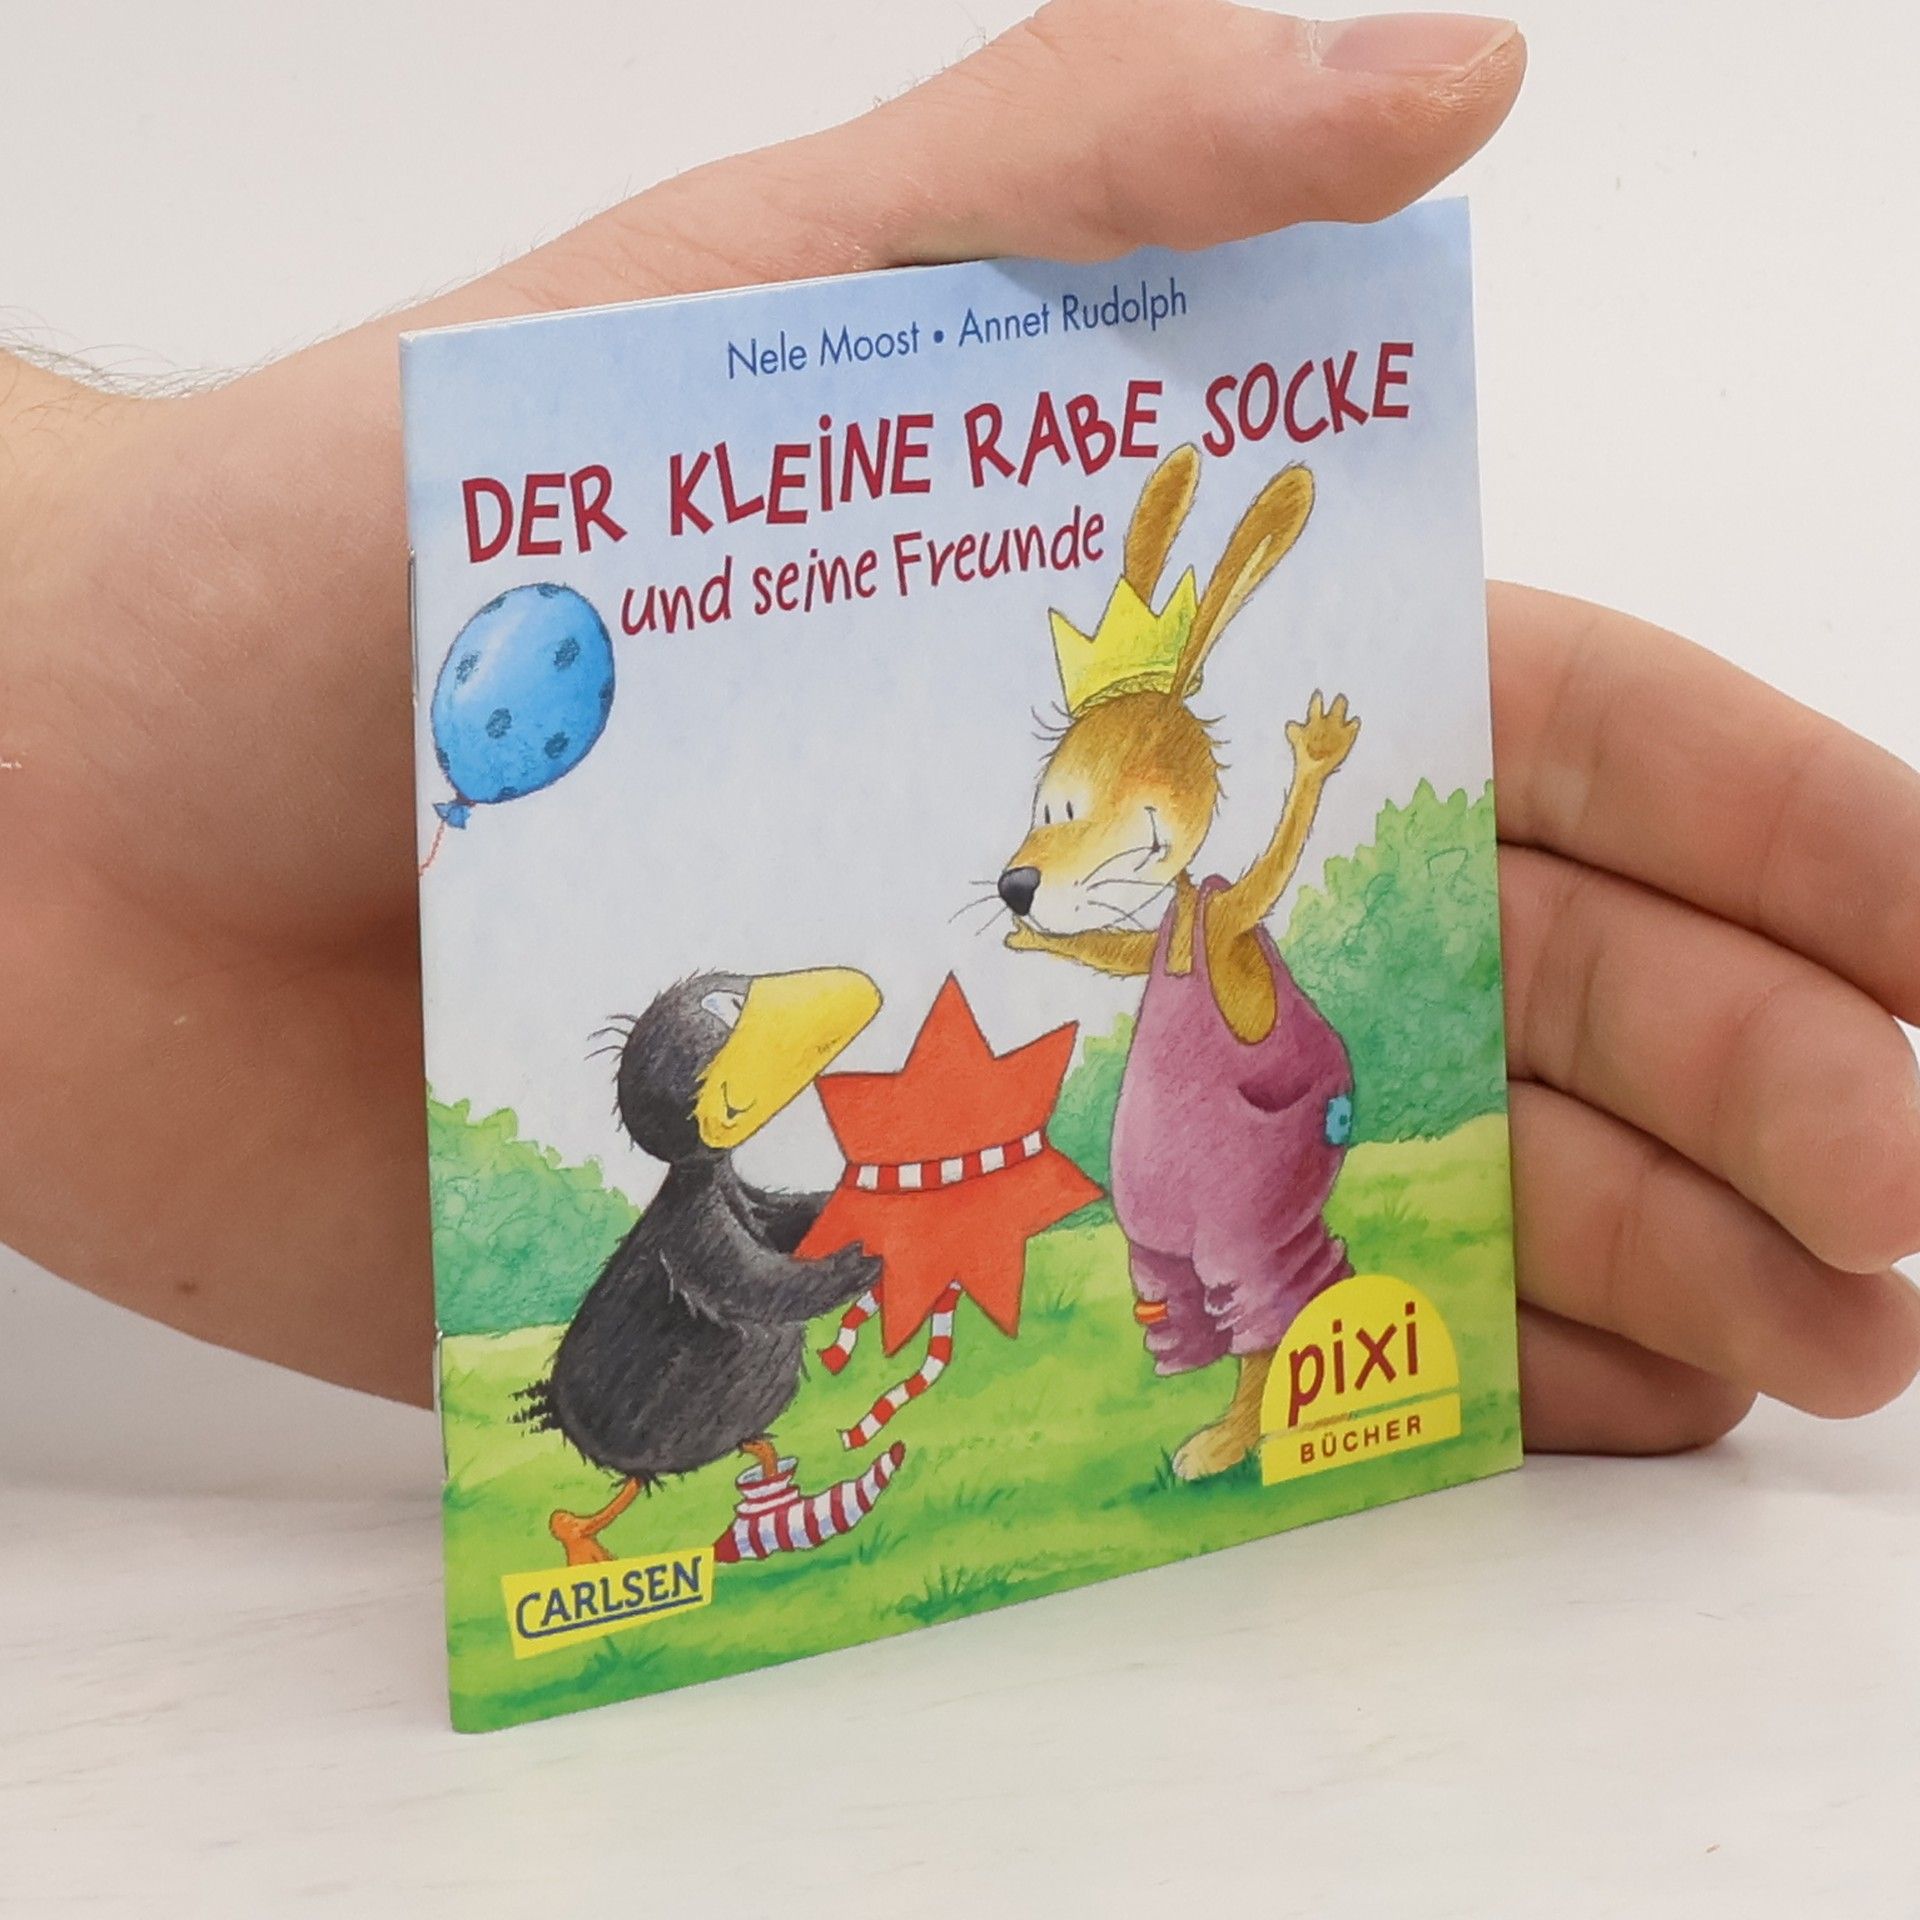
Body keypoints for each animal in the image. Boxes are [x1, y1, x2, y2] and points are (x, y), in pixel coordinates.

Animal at [997, 444, 1361, 1480]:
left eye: (1068, 809)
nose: (1014, 887)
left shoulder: (1226, 916)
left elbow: (1261, 875)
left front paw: (1317, 759)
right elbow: (1115, 947)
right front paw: (1038, 938)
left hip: (1250, 1216)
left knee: (1267, 1298)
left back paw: (1239, 1432)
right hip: (1156, 1255)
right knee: (1184, 1305)